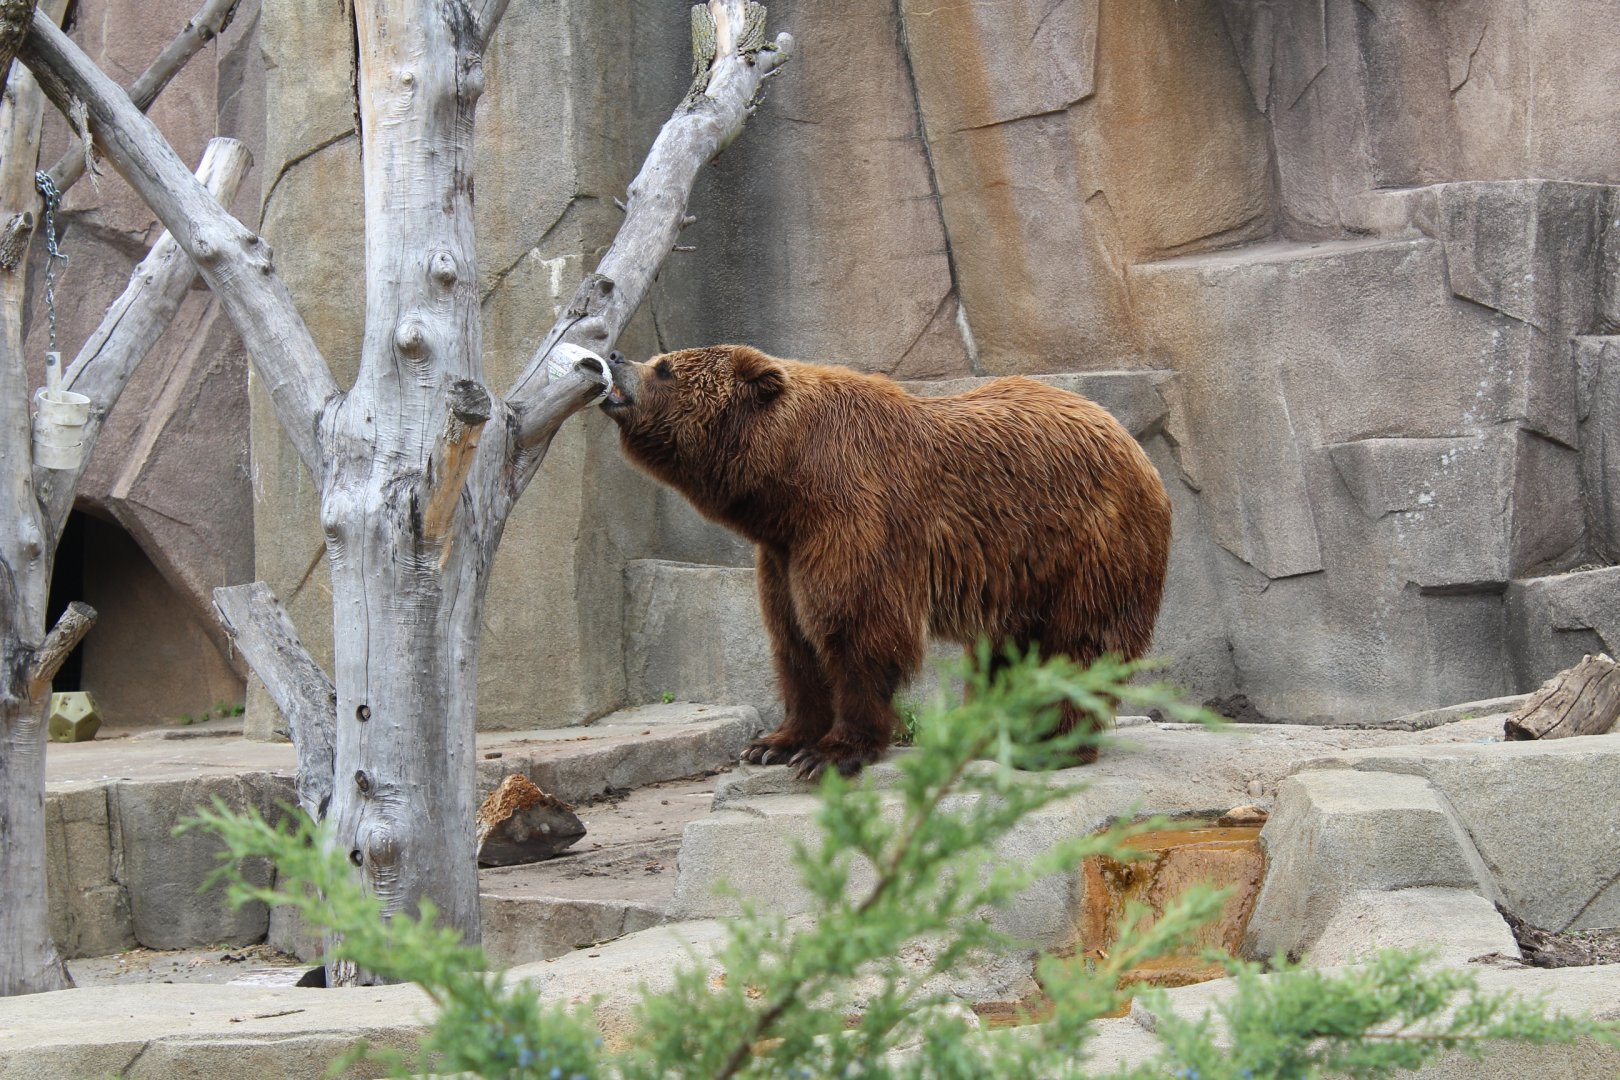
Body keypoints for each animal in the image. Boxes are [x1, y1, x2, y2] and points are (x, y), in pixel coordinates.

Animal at [601, 344, 1172, 779]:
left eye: (666, 367)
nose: (615, 356)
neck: (789, 482)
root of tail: (1130, 441)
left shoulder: (857, 516)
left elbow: (857, 629)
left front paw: (832, 753)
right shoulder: (783, 554)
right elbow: (794, 641)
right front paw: (772, 743)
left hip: (1090, 545)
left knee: (1080, 644)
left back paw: (1051, 742)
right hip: (1024, 572)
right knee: (1005, 651)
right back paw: (990, 730)